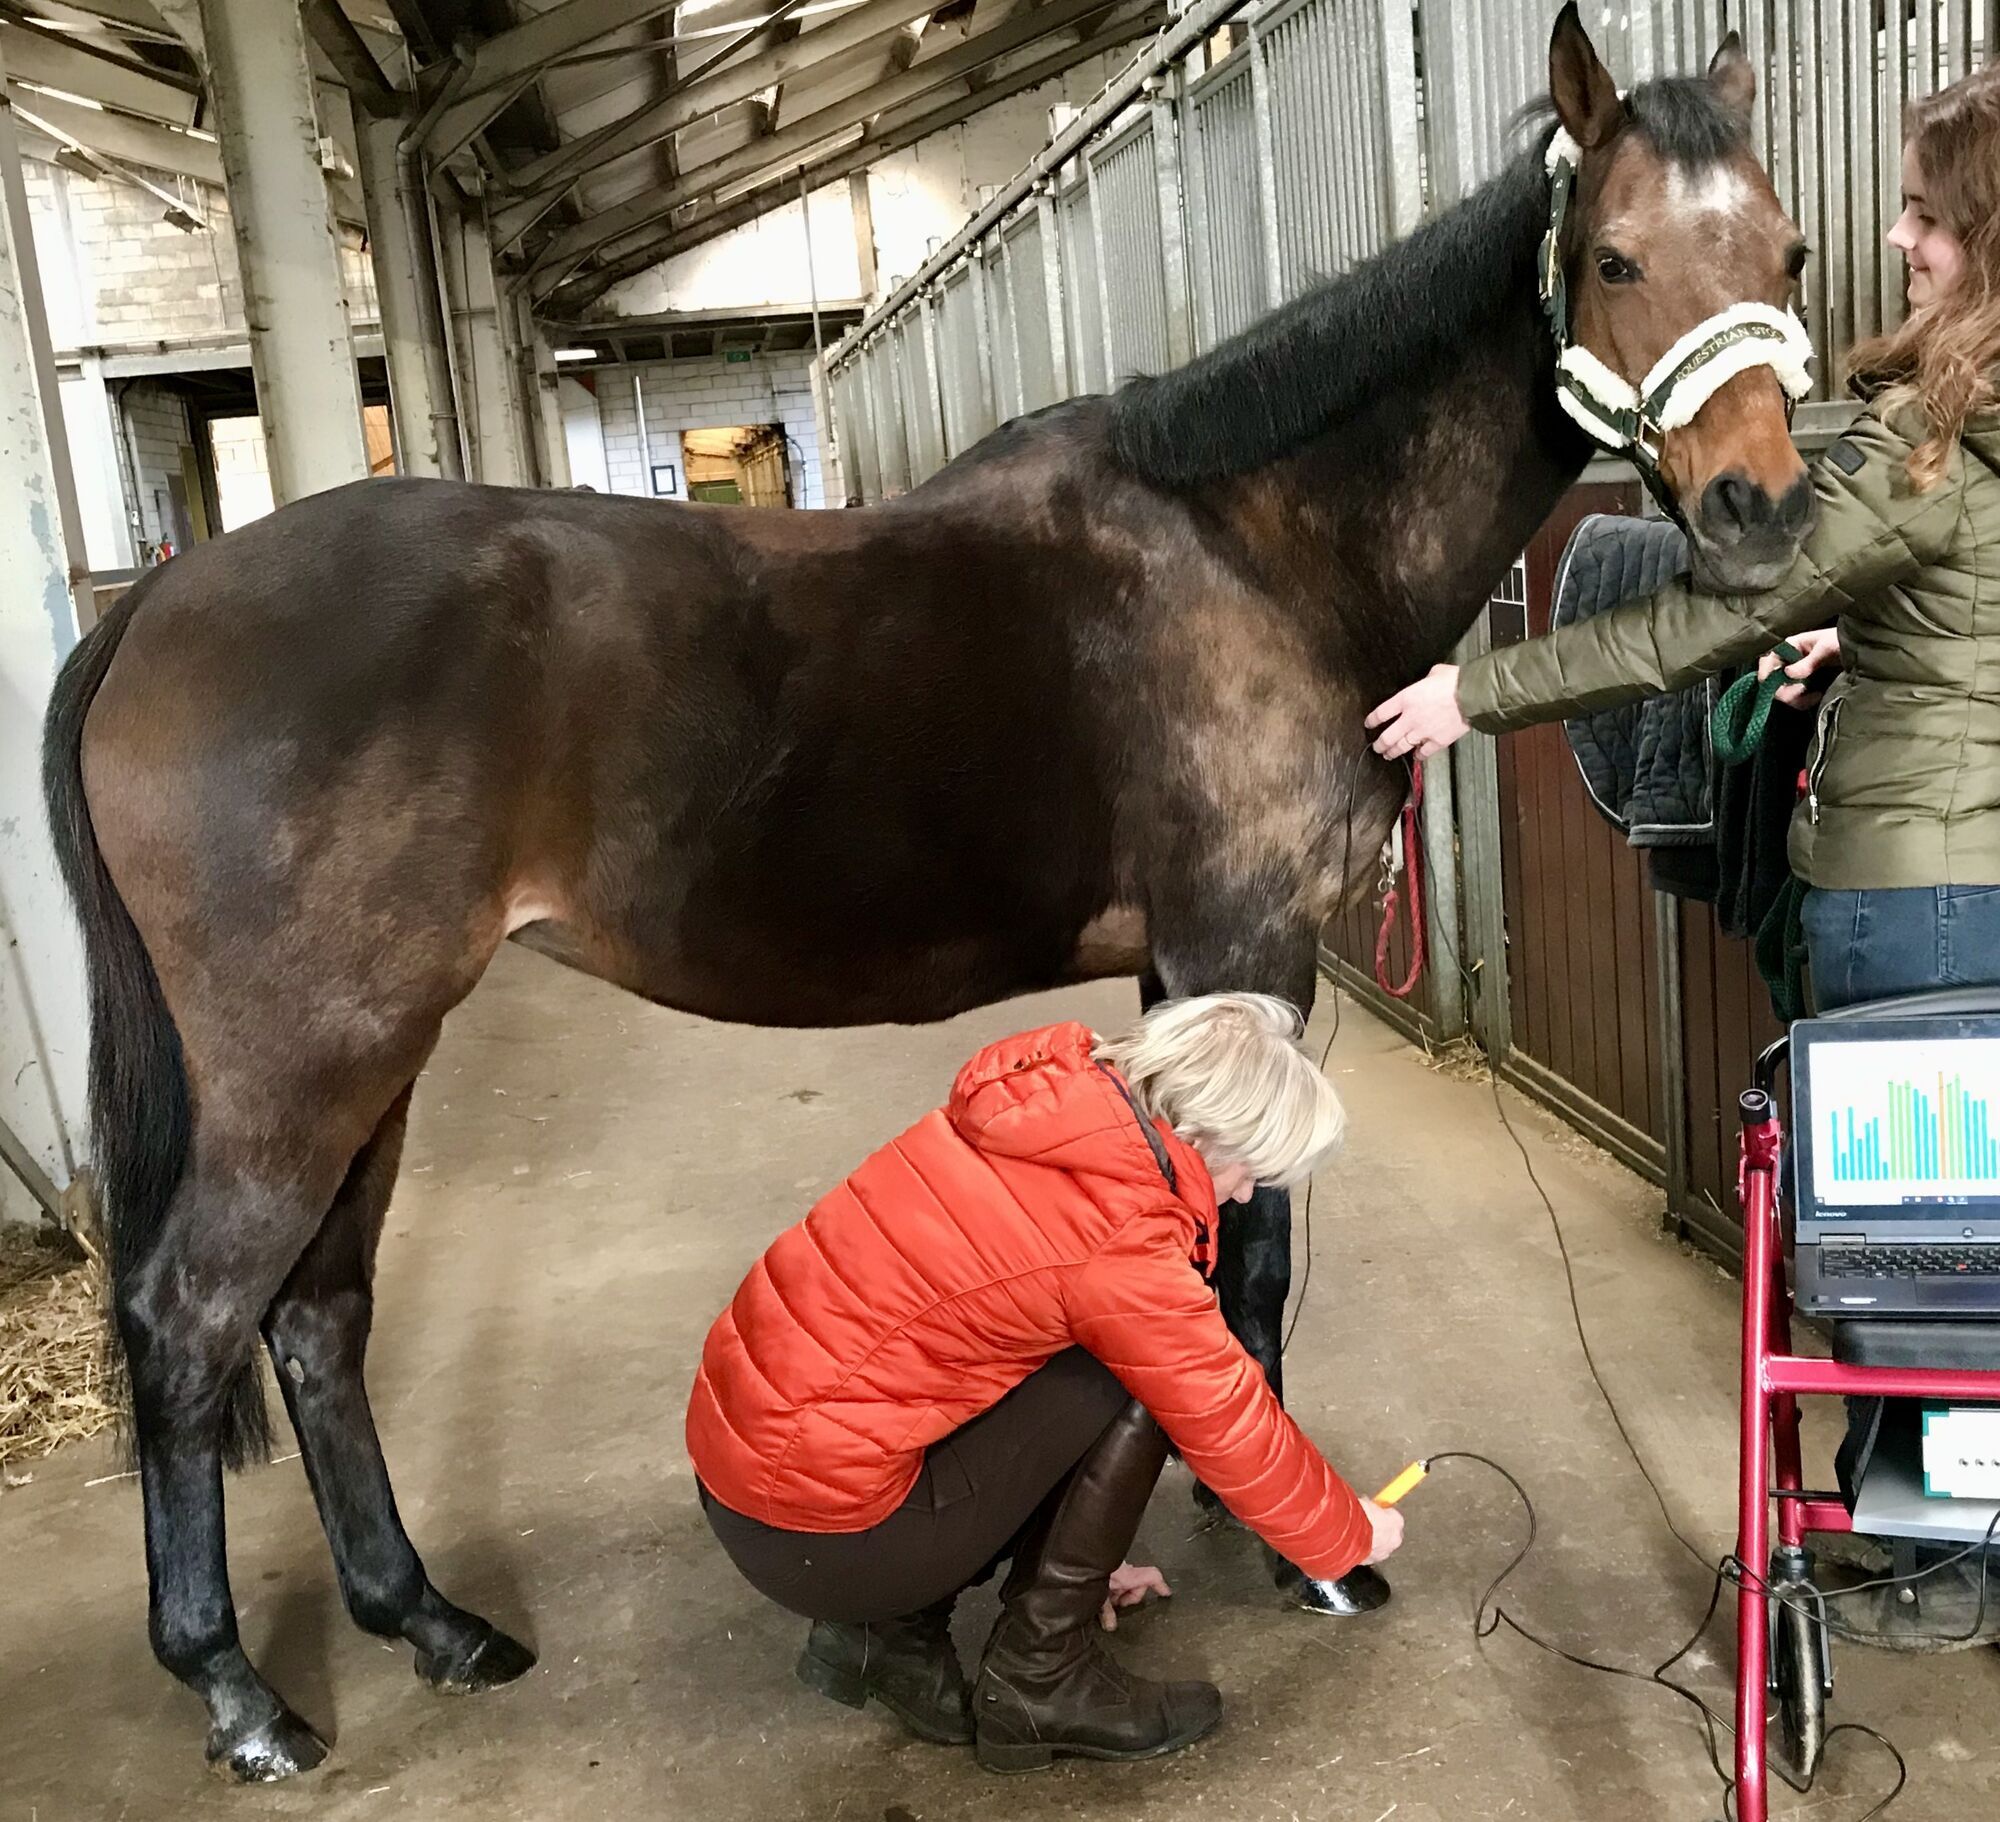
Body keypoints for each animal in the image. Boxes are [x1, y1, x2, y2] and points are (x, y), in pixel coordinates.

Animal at [41, 6, 1811, 1781]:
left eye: (1788, 250)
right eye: (1612, 256)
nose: (1764, 510)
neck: (1260, 550)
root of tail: (156, 611)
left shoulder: (1180, 974)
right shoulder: (1245, 949)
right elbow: (1248, 1264)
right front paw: (1298, 1553)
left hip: (375, 1064)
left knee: (316, 1318)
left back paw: (431, 1620)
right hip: (306, 1066)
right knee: (193, 1319)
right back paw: (240, 1693)